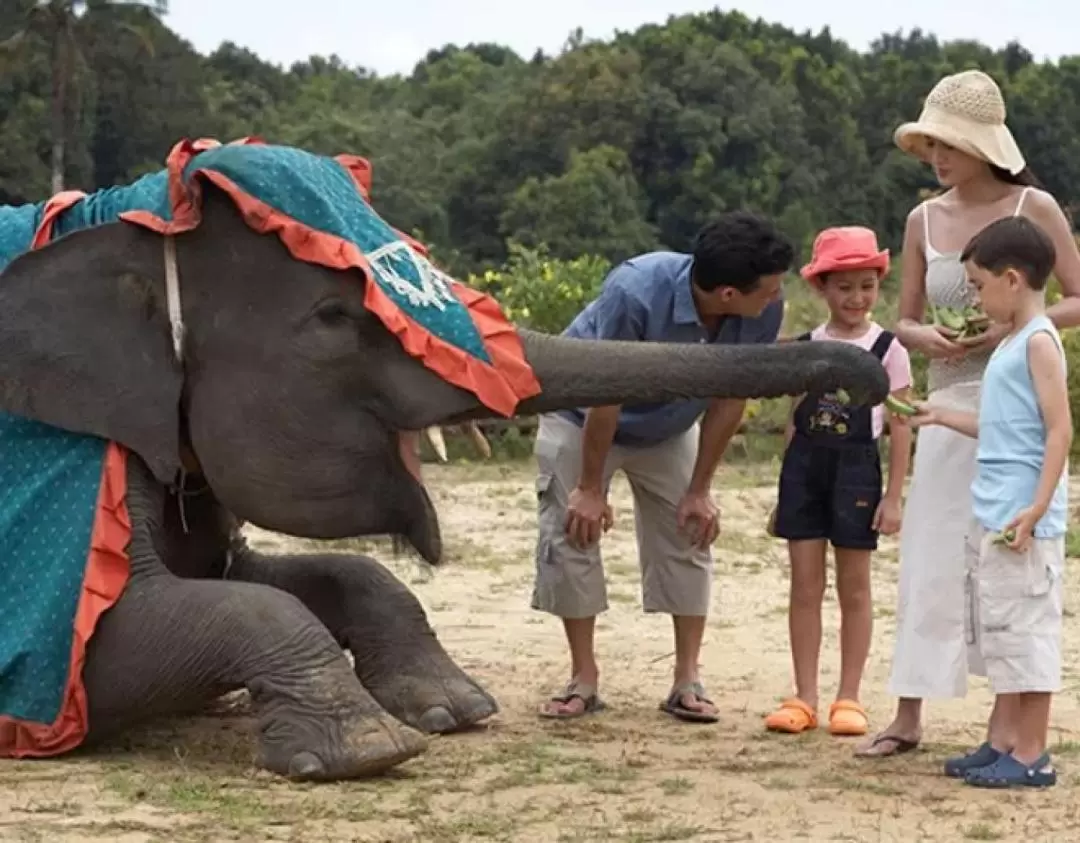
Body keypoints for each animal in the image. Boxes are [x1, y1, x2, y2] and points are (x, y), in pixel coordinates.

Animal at [0, 153, 885, 781]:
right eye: (334, 317)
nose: (865, 380)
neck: (121, 227)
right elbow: (147, 635)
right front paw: (369, 749)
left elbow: (301, 573)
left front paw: (455, 710)